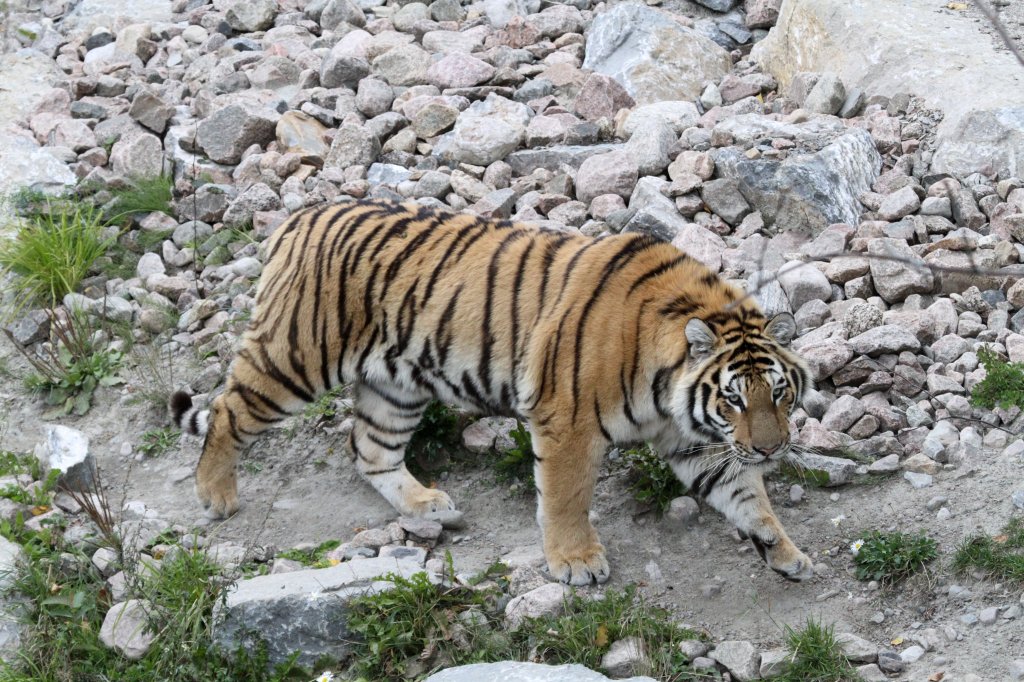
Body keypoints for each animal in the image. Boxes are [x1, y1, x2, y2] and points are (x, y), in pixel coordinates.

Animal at [174, 196, 815, 585]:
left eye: (779, 394)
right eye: (733, 398)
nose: (771, 448)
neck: (667, 383)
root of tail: (298, 217)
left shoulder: (694, 440)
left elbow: (746, 495)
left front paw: (784, 551)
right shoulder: (567, 421)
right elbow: (566, 496)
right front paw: (576, 562)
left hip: (395, 385)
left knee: (370, 450)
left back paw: (425, 503)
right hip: (297, 358)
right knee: (227, 411)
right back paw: (216, 495)